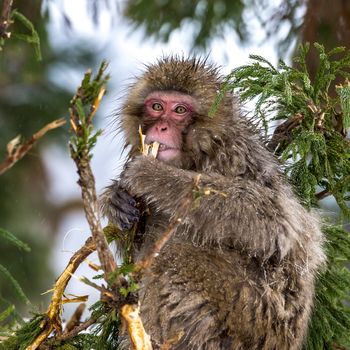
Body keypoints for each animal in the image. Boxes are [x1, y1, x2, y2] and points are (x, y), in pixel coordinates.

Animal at [101, 56, 326, 348]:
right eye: (157, 106)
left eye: (180, 110)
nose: (161, 127)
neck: (198, 155)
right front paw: (116, 200)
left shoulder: (237, 156)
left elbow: (277, 222)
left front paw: (154, 177)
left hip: (249, 313)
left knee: (174, 256)